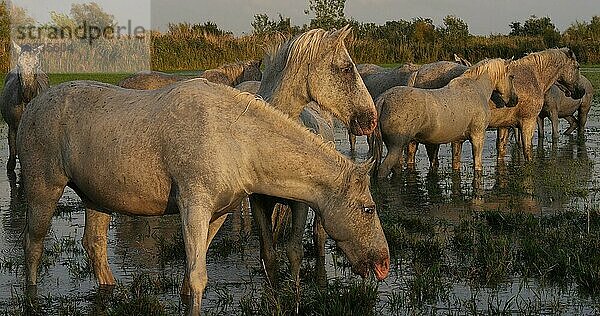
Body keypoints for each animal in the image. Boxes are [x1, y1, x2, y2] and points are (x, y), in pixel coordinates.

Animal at [17, 78, 390, 314]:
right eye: (369, 209)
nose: (384, 264)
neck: (236, 139)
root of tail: (33, 105)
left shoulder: (218, 213)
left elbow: (190, 276)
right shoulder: (193, 207)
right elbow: (198, 278)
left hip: (97, 198)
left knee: (94, 244)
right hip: (43, 189)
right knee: (33, 245)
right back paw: (32, 298)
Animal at [376, 59, 516, 178]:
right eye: (511, 76)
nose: (515, 100)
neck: (476, 89)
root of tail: (383, 99)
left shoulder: (458, 140)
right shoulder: (478, 136)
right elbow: (477, 166)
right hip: (396, 147)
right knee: (382, 170)